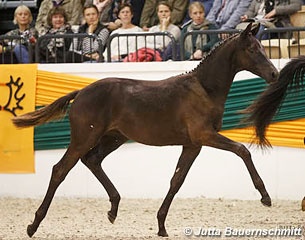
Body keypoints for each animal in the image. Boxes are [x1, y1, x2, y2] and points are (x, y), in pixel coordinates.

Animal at [11, 23, 278, 237]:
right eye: (252, 49)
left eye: (262, 47)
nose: (275, 74)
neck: (204, 88)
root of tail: (81, 92)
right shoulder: (204, 135)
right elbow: (242, 150)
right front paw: (265, 196)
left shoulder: (193, 144)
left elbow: (177, 180)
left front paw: (161, 226)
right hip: (84, 137)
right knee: (60, 169)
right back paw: (33, 225)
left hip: (113, 138)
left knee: (92, 160)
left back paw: (113, 208)